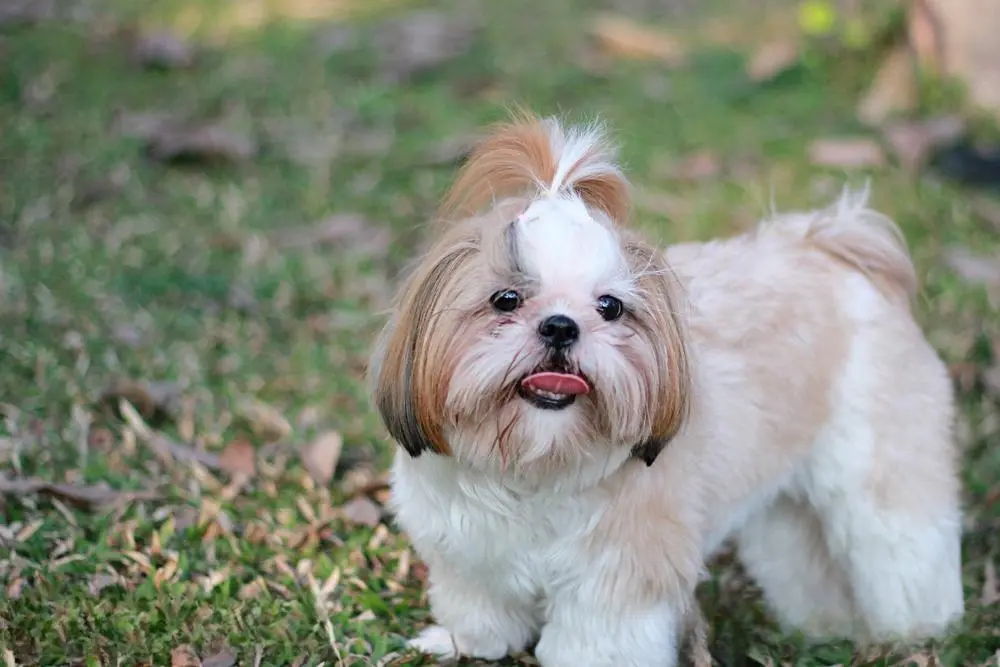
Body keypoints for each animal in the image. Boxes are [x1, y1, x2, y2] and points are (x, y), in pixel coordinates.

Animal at [372, 112, 964, 664]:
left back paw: (916, 632)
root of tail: (833, 246)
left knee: (904, 548)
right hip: (787, 504)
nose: (561, 325)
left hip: (881, 472)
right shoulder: (469, 554)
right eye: (506, 300)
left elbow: (595, 642)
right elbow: (481, 610)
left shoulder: (618, 575)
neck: (535, 465)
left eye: (609, 307)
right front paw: (462, 643)